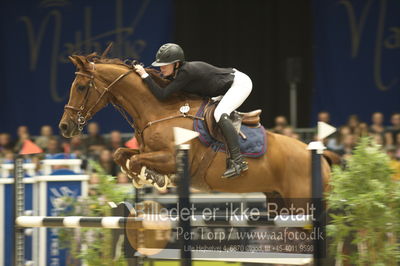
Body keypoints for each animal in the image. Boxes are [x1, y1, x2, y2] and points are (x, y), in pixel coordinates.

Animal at [57, 53, 332, 204]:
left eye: (81, 87)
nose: (64, 127)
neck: (158, 111)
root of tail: (323, 159)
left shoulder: (172, 157)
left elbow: (135, 162)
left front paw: (150, 178)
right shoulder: (145, 151)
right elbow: (120, 154)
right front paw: (147, 177)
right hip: (279, 201)